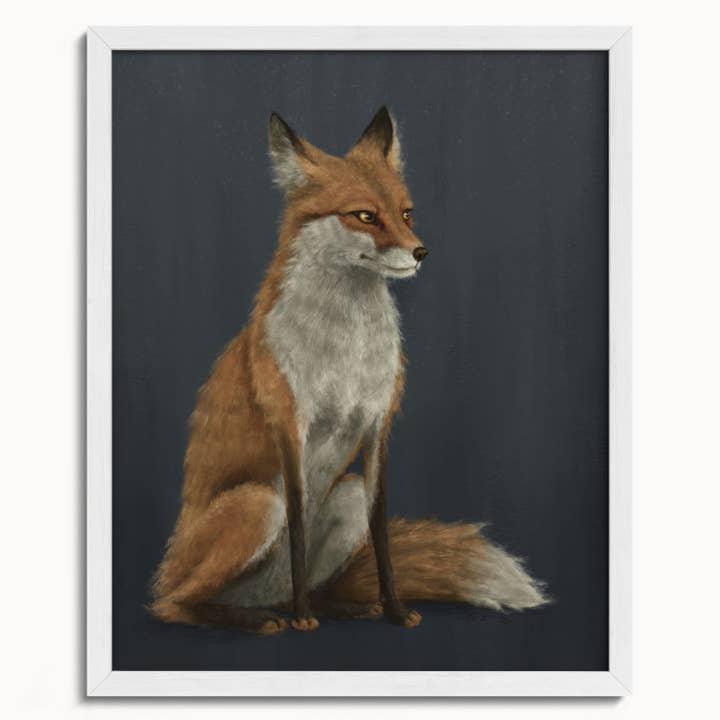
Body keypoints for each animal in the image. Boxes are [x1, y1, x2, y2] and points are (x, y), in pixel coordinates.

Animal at [150, 107, 547, 634]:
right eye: (364, 215)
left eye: (406, 213)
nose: (421, 252)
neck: (347, 350)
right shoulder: (291, 427)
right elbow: (298, 528)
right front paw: (303, 620)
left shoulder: (378, 425)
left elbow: (382, 536)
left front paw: (394, 609)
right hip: (257, 503)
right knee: (173, 603)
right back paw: (260, 617)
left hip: (347, 494)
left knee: (313, 584)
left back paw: (339, 606)